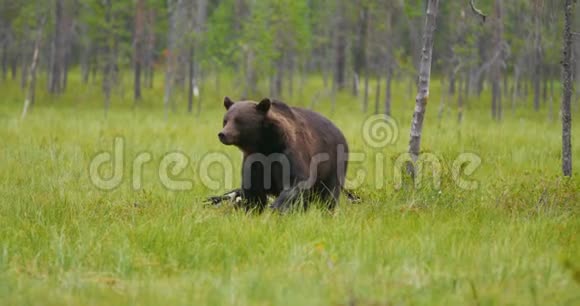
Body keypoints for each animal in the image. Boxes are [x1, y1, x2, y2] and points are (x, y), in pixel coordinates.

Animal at [208, 97, 348, 212]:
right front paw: (252, 209)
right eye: (225, 120)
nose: (222, 134)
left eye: (239, 121)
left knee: (329, 193)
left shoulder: (289, 152)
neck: (266, 144)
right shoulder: (255, 160)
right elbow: (253, 190)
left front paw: (276, 206)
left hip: (333, 161)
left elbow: (297, 181)